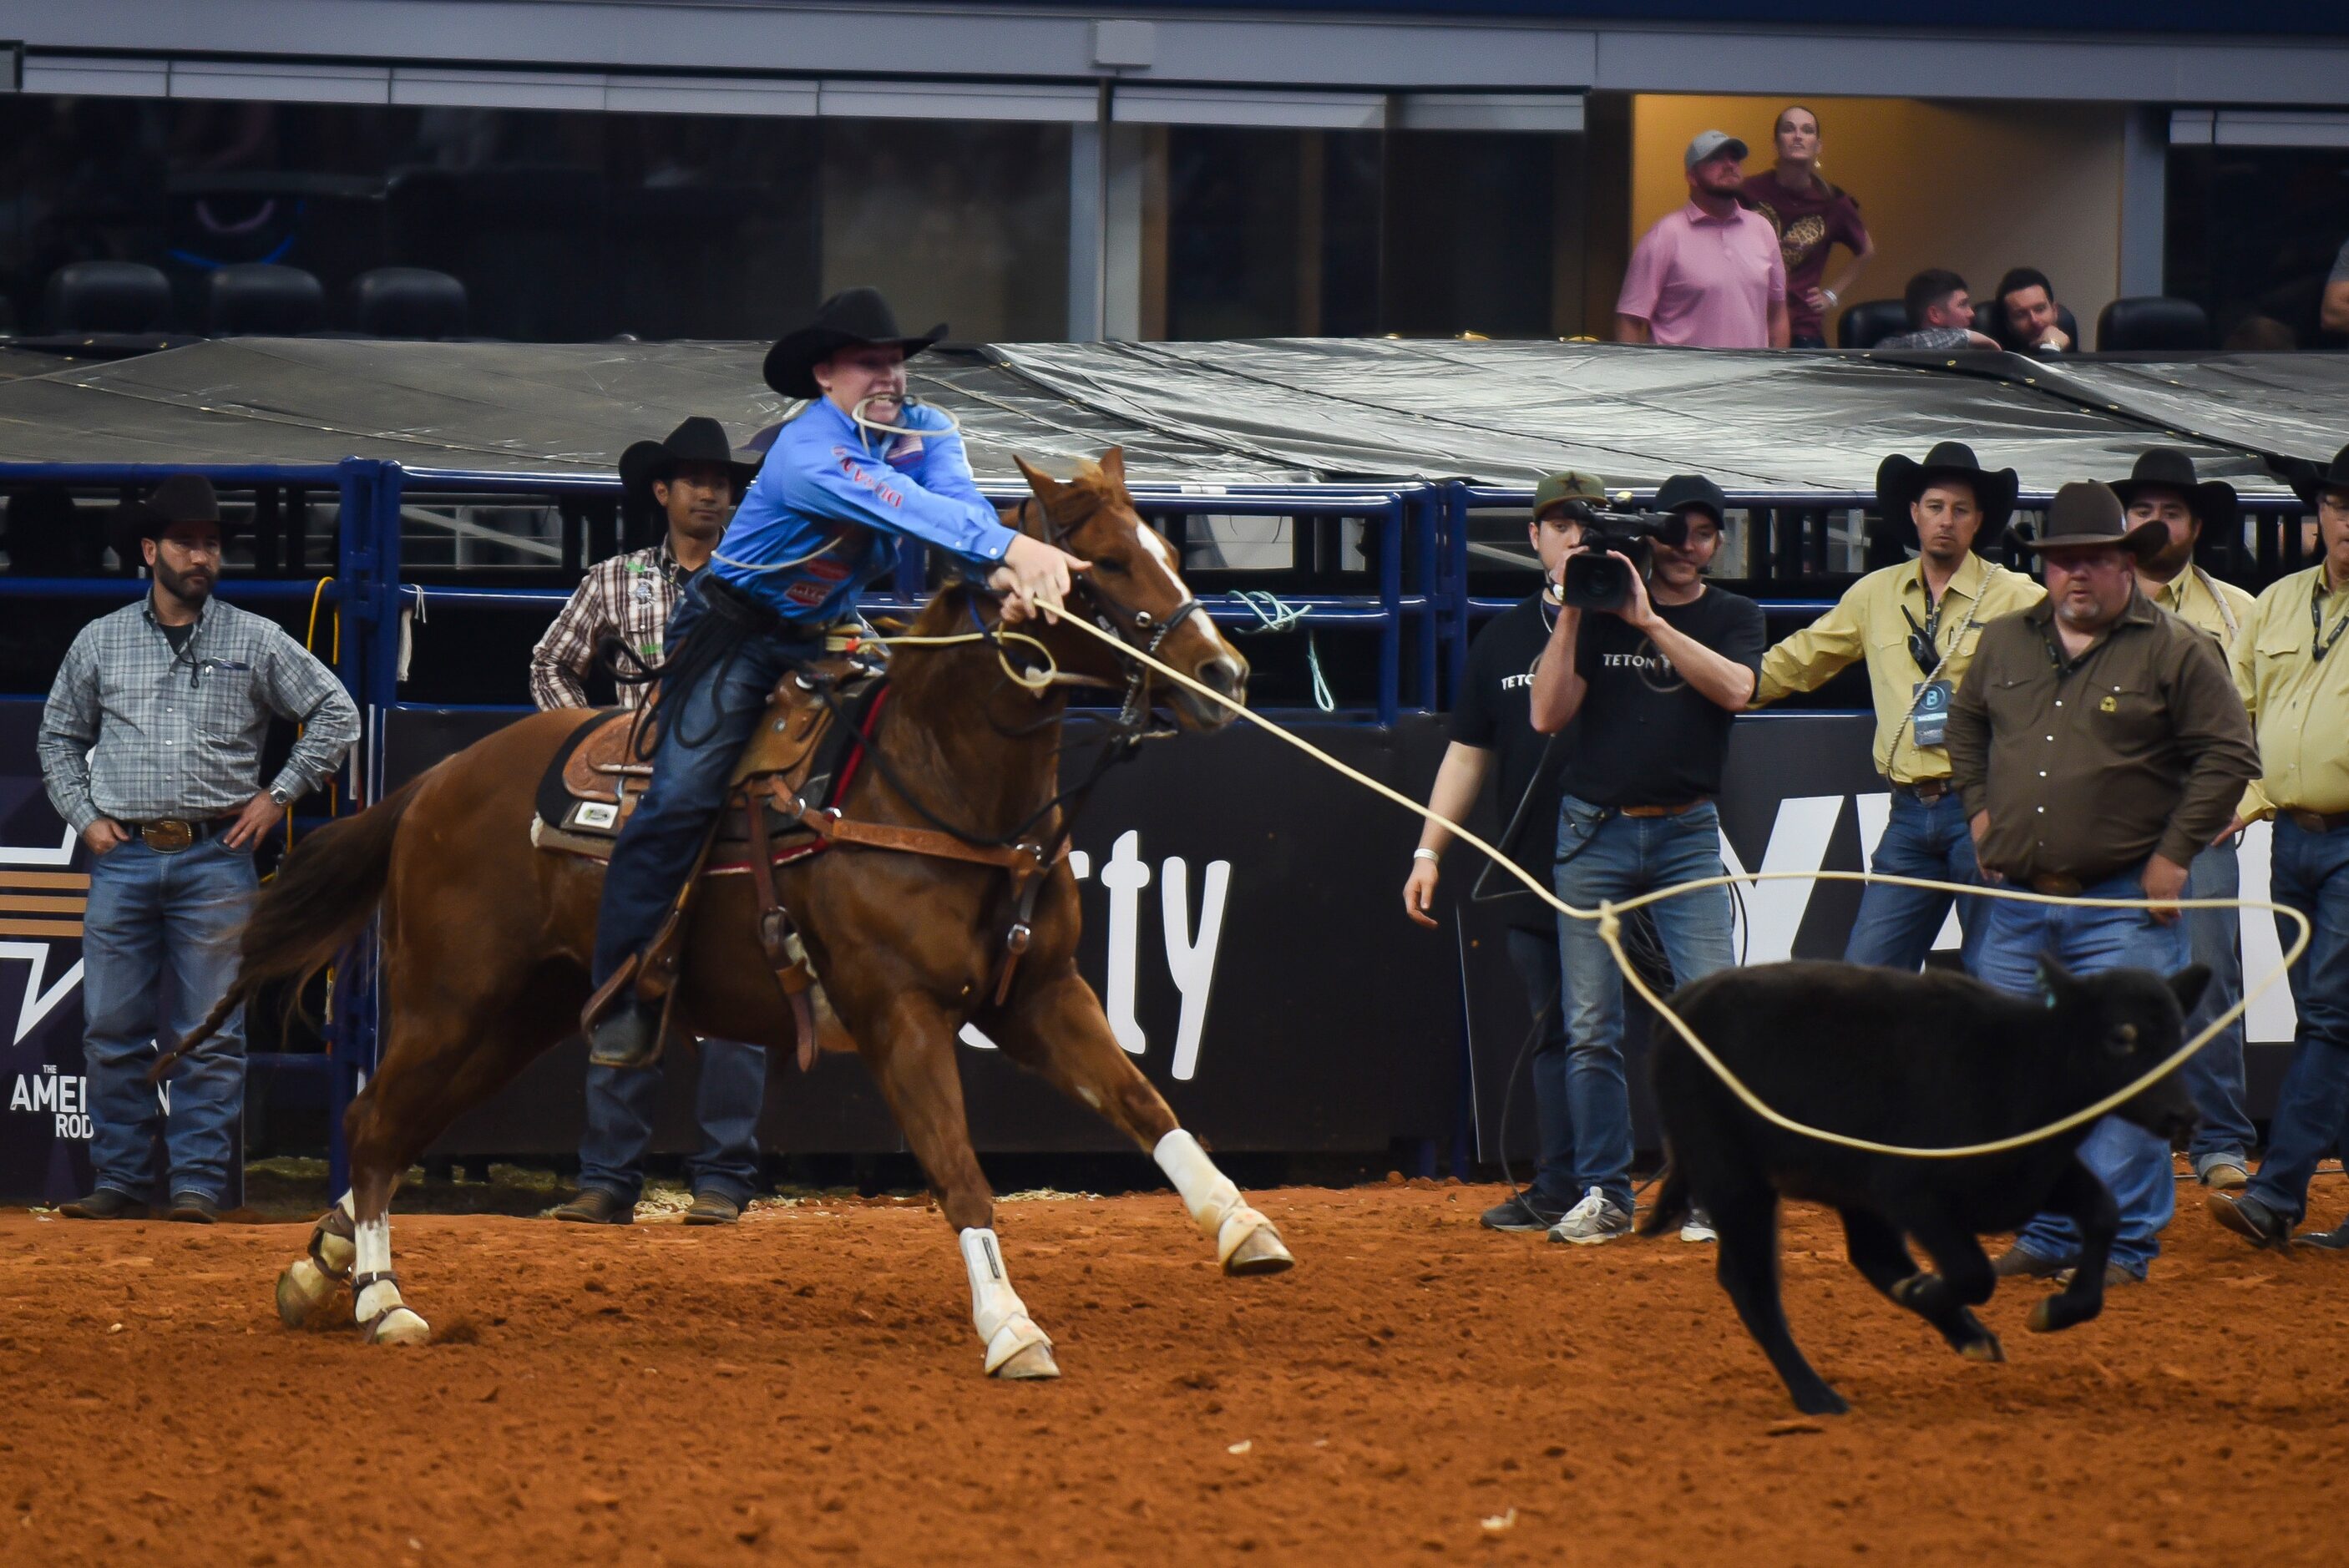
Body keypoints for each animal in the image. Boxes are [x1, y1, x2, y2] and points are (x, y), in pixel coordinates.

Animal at [185, 450, 1306, 1370]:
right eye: (1105, 565)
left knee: (395, 1127)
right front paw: (1009, 1327)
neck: (925, 783)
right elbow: (959, 1172)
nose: (1225, 673)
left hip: (521, 1016)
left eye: (1166, 551)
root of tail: (431, 784)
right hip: (450, 1001)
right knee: (373, 1124)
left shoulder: (1037, 994)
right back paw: (382, 1302)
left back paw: (325, 1269)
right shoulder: (900, 1016)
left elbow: (1145, 1103)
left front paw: (1241, 1226)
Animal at [1644, 958, 2208, 1418]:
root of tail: (1683, 1001)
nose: (2182, 1116)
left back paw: (1967, 1335)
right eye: (2120, 1036)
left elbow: (2104, 1213)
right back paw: (1817, 1395)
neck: (2020, 1067)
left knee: (1873, 1256)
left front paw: (2055, 1311)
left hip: (1840, 1188)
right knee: (1753, 1284)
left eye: (2180, 1035)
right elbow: (1974, 1274)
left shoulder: (2031, 1177)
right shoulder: (1911, 1193)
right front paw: (1926, 1292)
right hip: (1734, 1178)